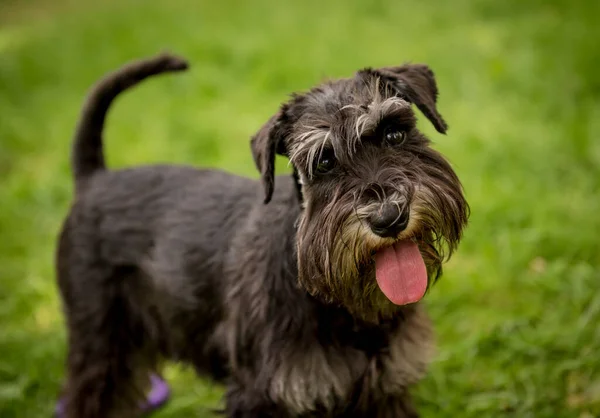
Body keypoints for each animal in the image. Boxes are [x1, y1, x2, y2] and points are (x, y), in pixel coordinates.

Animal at [55, 52, 468, 418]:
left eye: (394, 133)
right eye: (324, 161)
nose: (388, 217)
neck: (344, 307)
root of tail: (94, 179)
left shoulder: (385, 388)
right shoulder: (260, 395)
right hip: (100, 344)